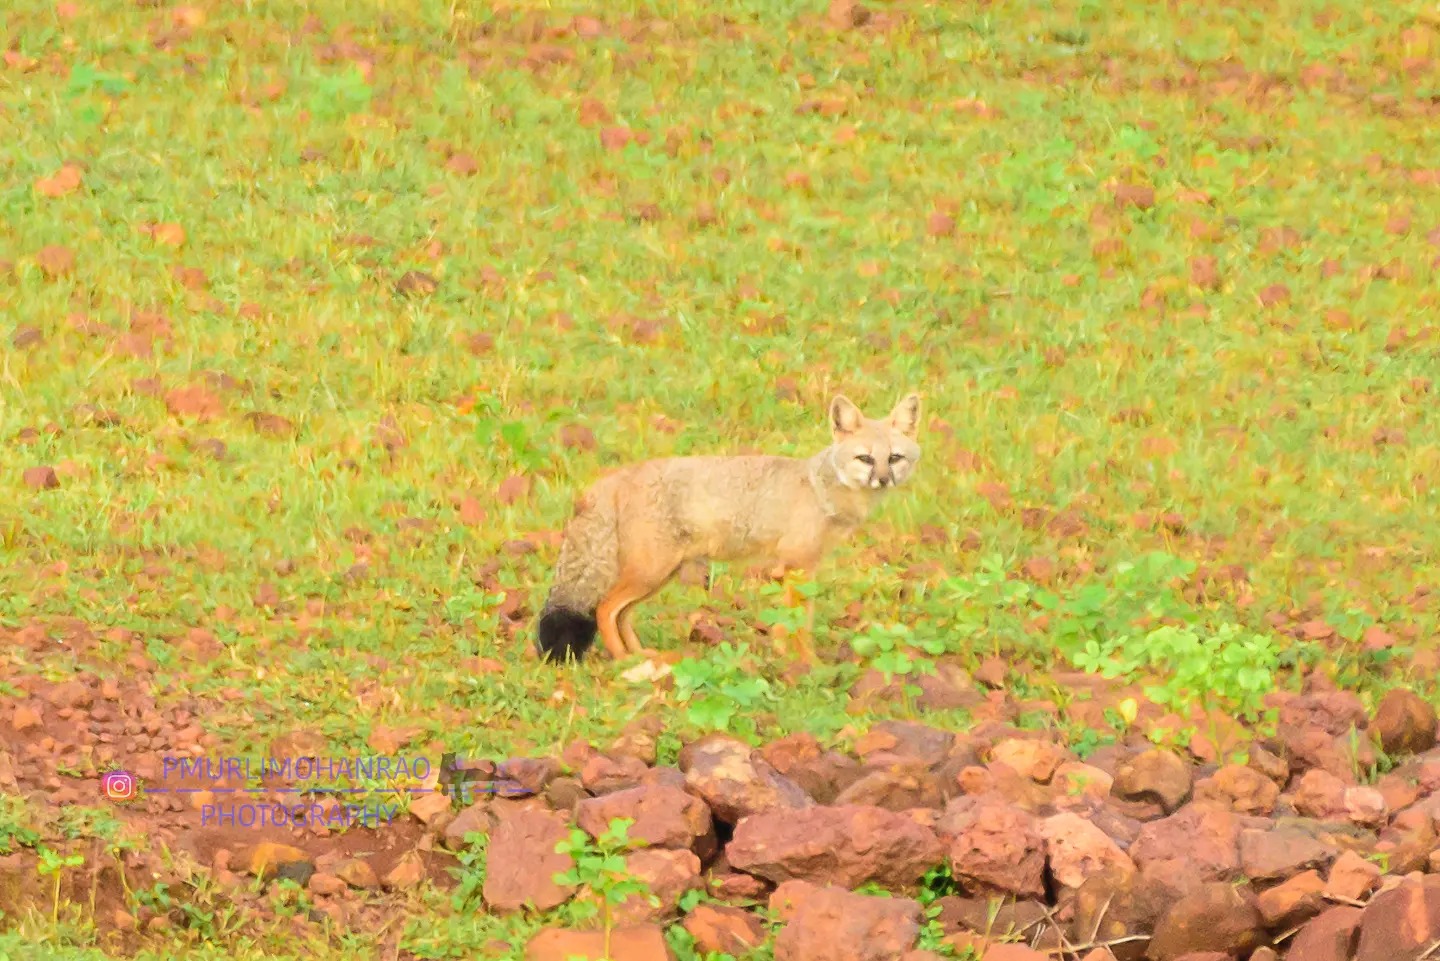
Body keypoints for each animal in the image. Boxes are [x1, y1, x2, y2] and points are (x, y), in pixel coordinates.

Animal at [534, 392, 923, 664]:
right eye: (865, 459)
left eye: (894, 458)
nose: (883, 480)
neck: (820, 488)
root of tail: (614, 476)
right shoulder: (798, 566)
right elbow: (799, 626)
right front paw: (807, 664)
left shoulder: (797, 570)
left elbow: (789, 623)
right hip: (649, 574)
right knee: (603, 609)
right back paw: (623, 661)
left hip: (657, 577)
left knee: (620, 614)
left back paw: (642, 656)